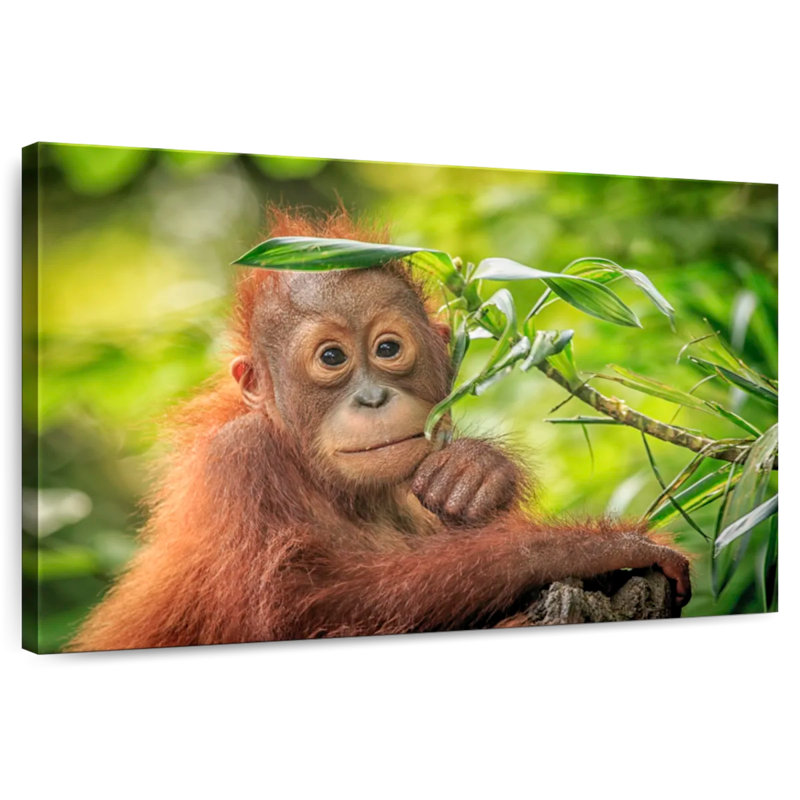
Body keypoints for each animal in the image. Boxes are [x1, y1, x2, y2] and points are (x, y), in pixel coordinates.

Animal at [67, 208, 690, 651]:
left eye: (387, 349)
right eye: (331, 358)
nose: (371, 397)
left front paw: (474, 475)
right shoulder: (237, 462)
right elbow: (298, 607)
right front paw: (591, 547)